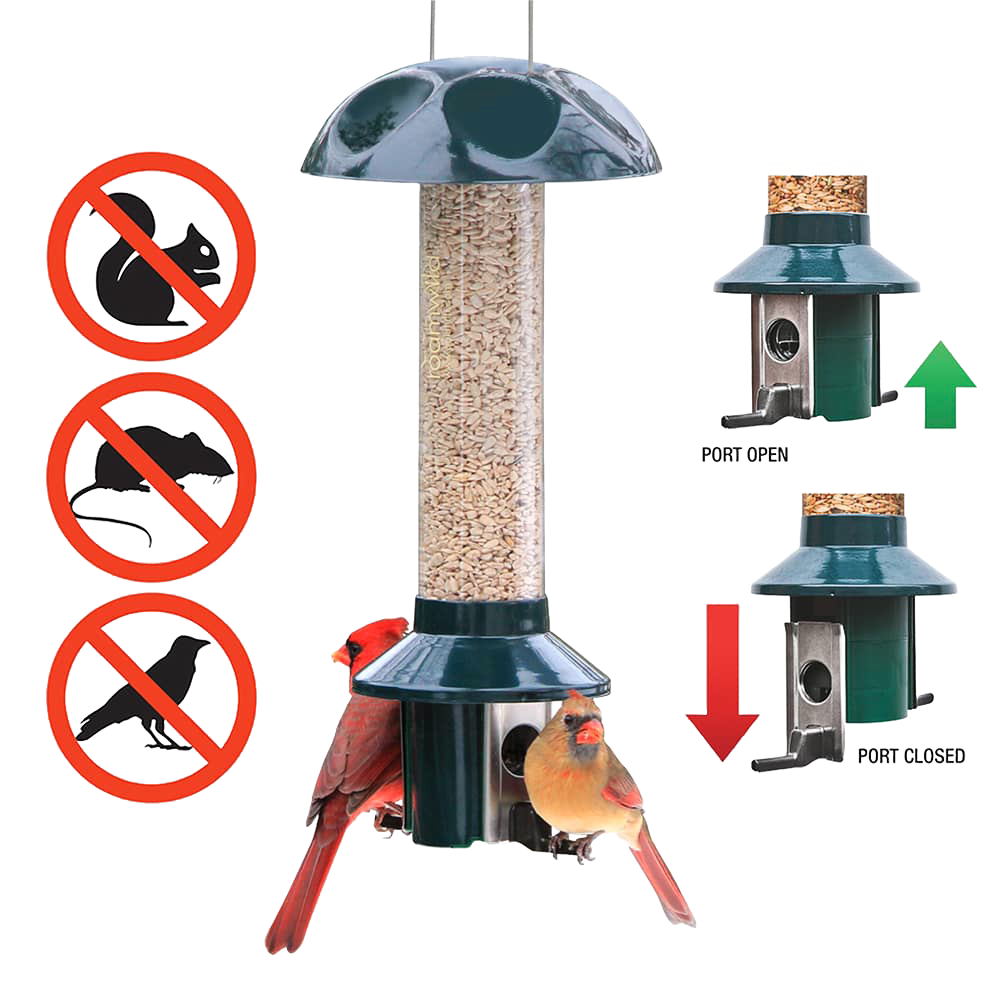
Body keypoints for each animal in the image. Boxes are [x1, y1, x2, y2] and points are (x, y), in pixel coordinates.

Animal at [93, 192, 221, 326]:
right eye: (205, 251)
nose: (217, 263)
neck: (184, 253)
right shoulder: (183, 269)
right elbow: (197, 281)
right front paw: (216, 277)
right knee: (155, 320)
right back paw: (176, 322)